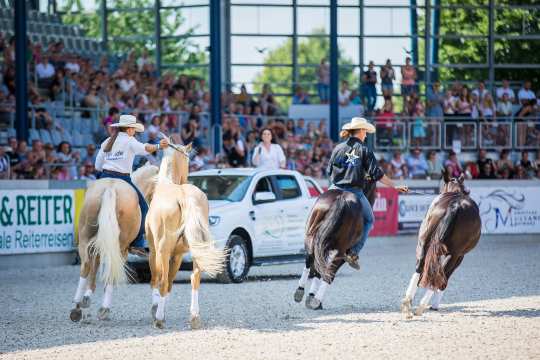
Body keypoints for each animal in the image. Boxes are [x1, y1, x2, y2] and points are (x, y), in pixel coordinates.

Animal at [69, 163, 158, 320]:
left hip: (86, 240)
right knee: (109, 271)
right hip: (120, 248)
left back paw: (77, 307)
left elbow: (94, 269)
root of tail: (110, 188)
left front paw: (87, 297)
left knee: (86, 266)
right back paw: (104, 308)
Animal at [292, 180, 376, 310]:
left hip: (311, 238)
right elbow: (327, 272)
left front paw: (310, 296)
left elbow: (318, 269)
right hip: (340, 251)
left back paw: (300, 291)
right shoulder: (343, 254)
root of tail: (341, 199)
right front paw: (315, 300)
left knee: (310, 260)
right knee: (329, 271)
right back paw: (317, 300)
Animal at [398, 170, 484, 320]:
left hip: (424, 243)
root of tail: (455, 205)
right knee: (440, 274)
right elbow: (443, 279)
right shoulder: (459, 257)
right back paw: (420, 306)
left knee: (420, 266)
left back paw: (408, 304)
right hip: (454, 255)